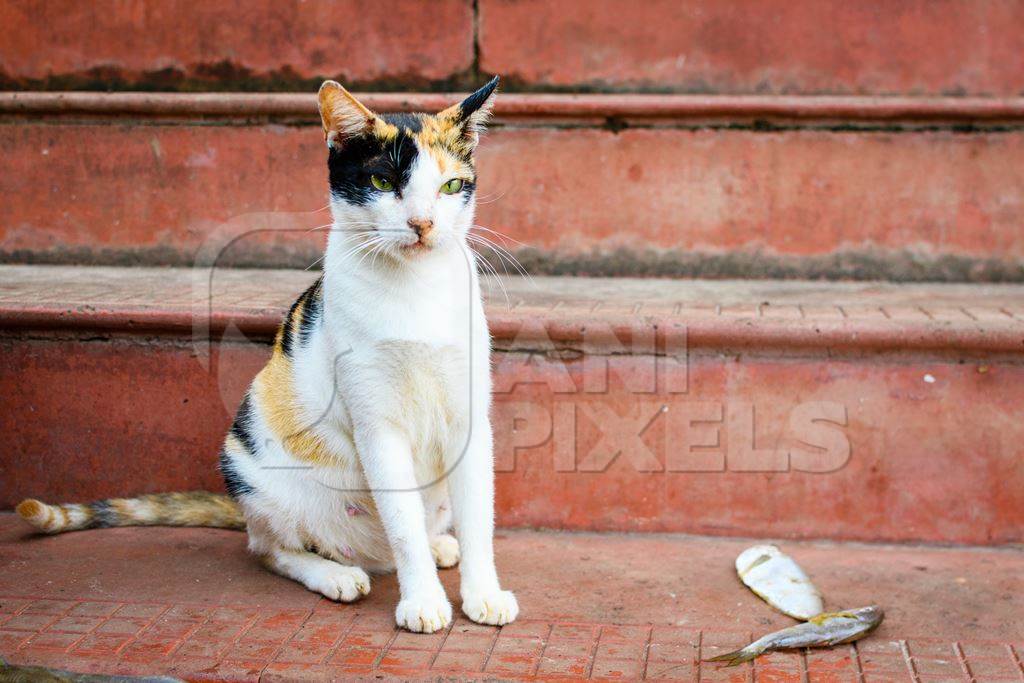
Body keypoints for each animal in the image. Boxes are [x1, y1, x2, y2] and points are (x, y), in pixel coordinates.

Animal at [18, 77, 520, 638]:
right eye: (382, 180)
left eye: (450, 187)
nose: (423, 223)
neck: (416, 291)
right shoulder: (376, 425)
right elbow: (402, 525)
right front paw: (423, 602)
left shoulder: (468, 418)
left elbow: (478, 519)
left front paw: (483, 594)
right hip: (253, 473)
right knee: (271, 550)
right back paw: (337, 575)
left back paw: (437, 546)